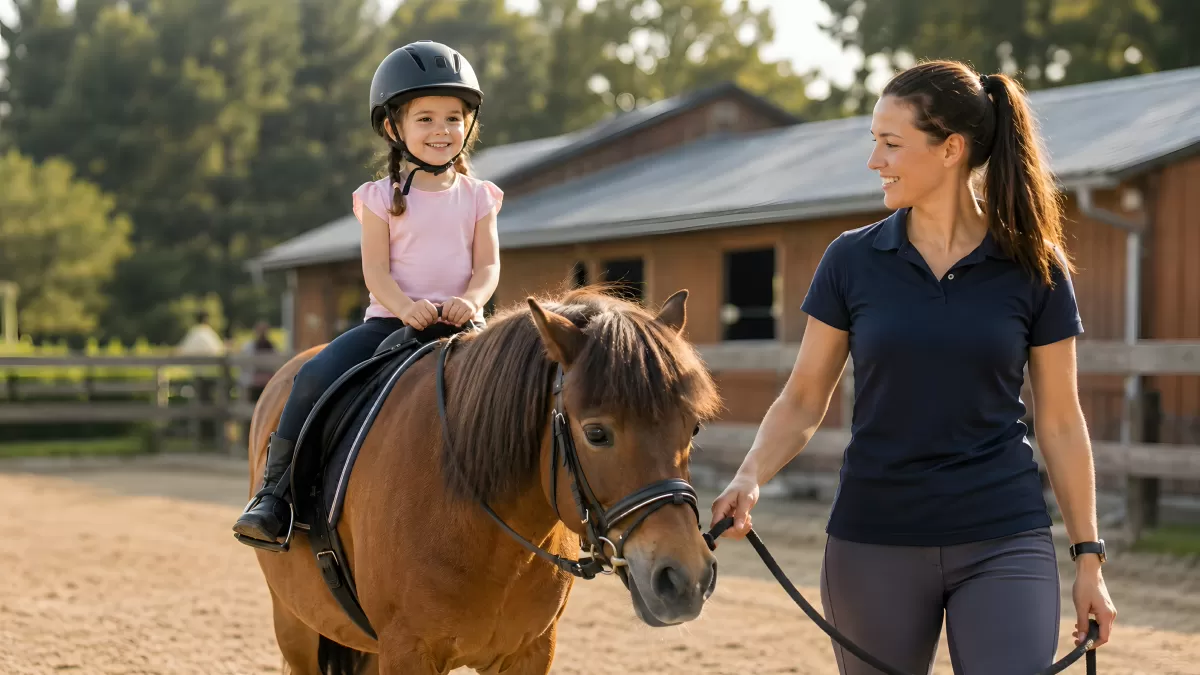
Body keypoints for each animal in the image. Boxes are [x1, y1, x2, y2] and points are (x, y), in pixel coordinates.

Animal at [244, 286, 724, 674]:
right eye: (596, 433)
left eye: (693, 428)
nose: (686, 580)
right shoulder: (408, 652)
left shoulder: (530, 653)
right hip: (294, 624)